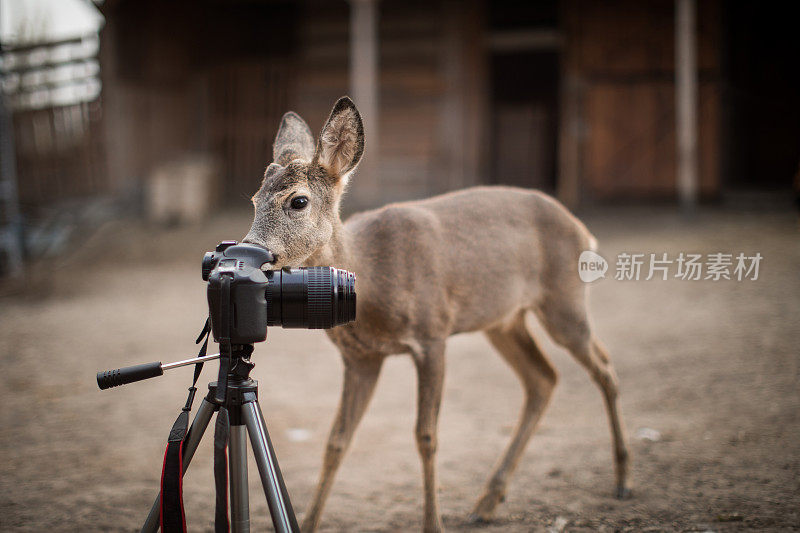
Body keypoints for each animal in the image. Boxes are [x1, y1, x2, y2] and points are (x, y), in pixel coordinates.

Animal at [241, 97, 628, 528]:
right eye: (254, 200)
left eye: (298, 200)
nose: (249, 252)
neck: (374, 284)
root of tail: (582, 229)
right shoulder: (360, 357)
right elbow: (336, 441)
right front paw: (308, 524)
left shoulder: (432, 334)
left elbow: (426, 436)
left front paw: (432, 523)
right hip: (503, 320)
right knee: (543, 378)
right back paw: (487, 502)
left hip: (565, 300)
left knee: (603, 366)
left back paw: (622, 480)